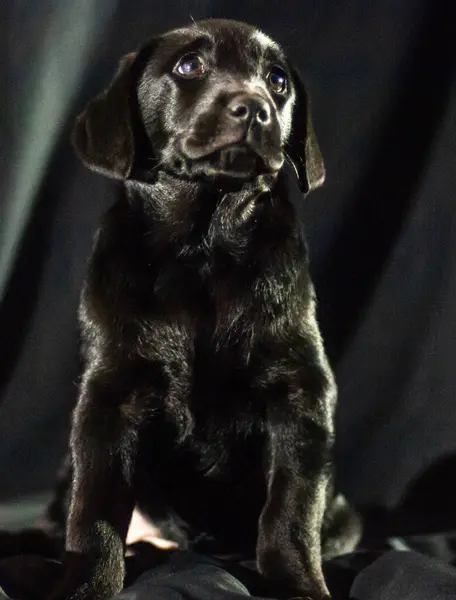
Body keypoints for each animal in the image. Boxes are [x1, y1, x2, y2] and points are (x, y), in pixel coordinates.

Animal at [1, 16, 362, 600]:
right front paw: (86, 584)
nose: (255, 107)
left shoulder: (302, 394)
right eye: (189, 66)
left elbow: (290, 510)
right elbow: (93, 511)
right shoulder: (109, 399)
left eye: (278, 80)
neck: (203, 248)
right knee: (56, 525)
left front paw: (298, 584)